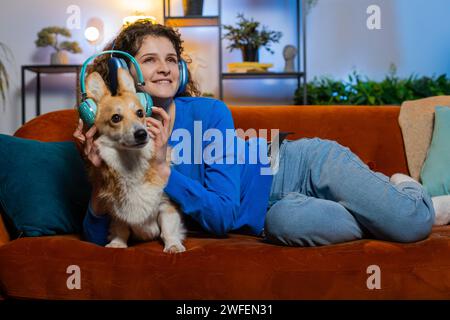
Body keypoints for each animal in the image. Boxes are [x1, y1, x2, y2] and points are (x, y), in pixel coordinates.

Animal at [79, 50, 188, 252]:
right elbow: (120, 229)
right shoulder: (116, 212)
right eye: (116, 118)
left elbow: (168, 229)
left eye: (140, 113)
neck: (130, 160)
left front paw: (173, 246)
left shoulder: (166, 205)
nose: (141, 134)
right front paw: (117, 244)